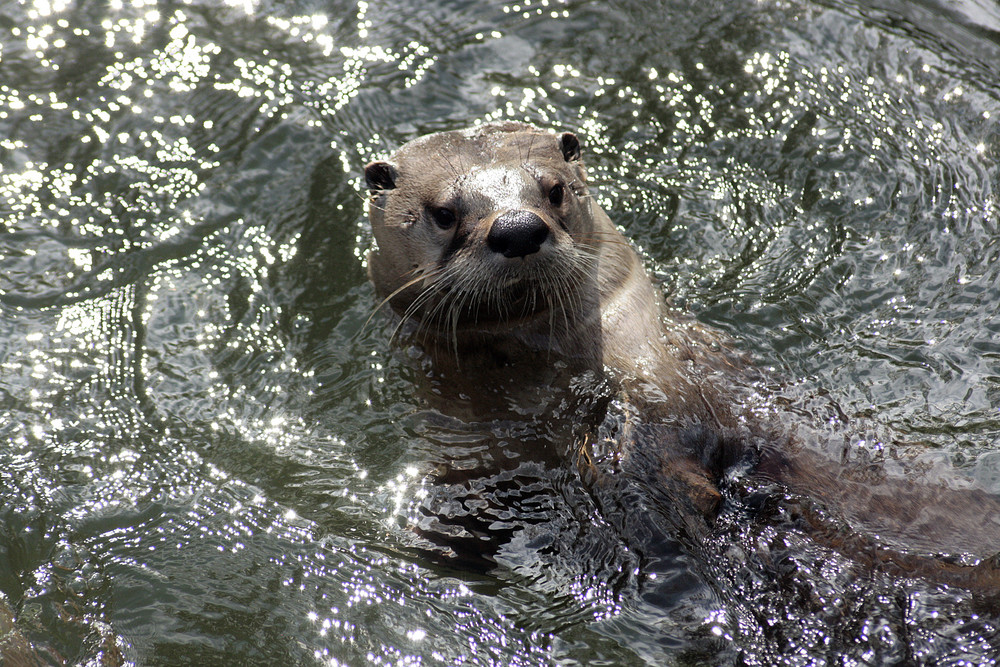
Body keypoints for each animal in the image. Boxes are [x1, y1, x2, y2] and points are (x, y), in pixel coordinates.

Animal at [364, 124, 1000, 596]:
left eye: (554, 190)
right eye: (444, 212)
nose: (517, 229)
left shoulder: (659, 374)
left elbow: (677, 440)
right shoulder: (465, 438)